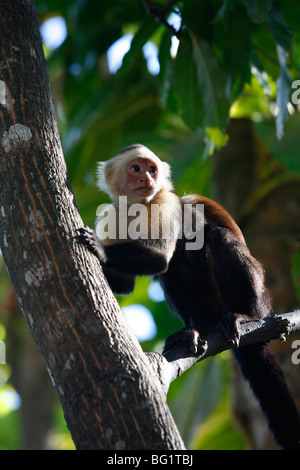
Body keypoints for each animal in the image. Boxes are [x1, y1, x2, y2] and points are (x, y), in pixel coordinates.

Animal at [77, 144, 300, 452]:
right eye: (136, 168)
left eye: (152, 169)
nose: (147, 178)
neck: (138, 206)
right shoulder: (113, 215)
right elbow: (128, 283)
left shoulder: (165, 202)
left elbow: (159, 259)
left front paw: (98, 248)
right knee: (174, 270)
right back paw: (193, 330)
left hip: (260, 298)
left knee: (215, 239)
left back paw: (245, 316)